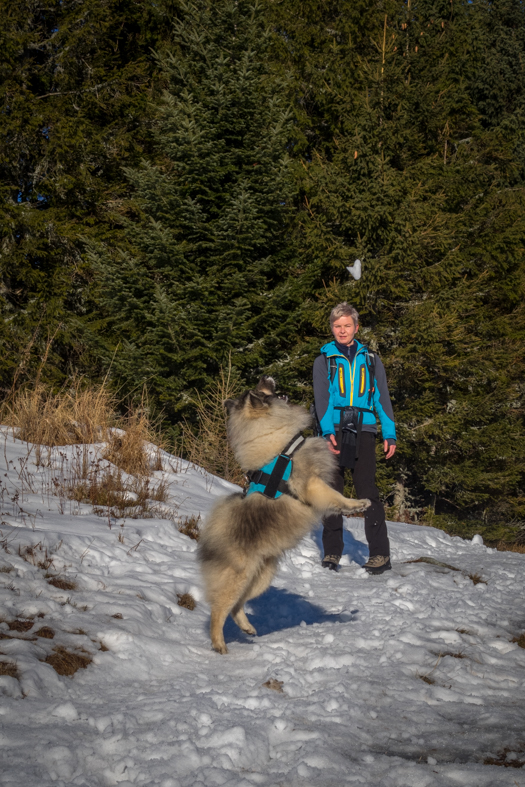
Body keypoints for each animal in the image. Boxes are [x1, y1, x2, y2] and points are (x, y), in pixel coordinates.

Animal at [199, 376, 370, 652]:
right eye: (261, 389)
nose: (267, 376)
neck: (280, 442)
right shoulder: (312, 484)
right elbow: (336, 498)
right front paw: (358, 504)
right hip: (238, 579)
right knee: (219, 609)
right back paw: (219, 645)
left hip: (260, 578)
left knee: (237, 607)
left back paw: (247, 627)